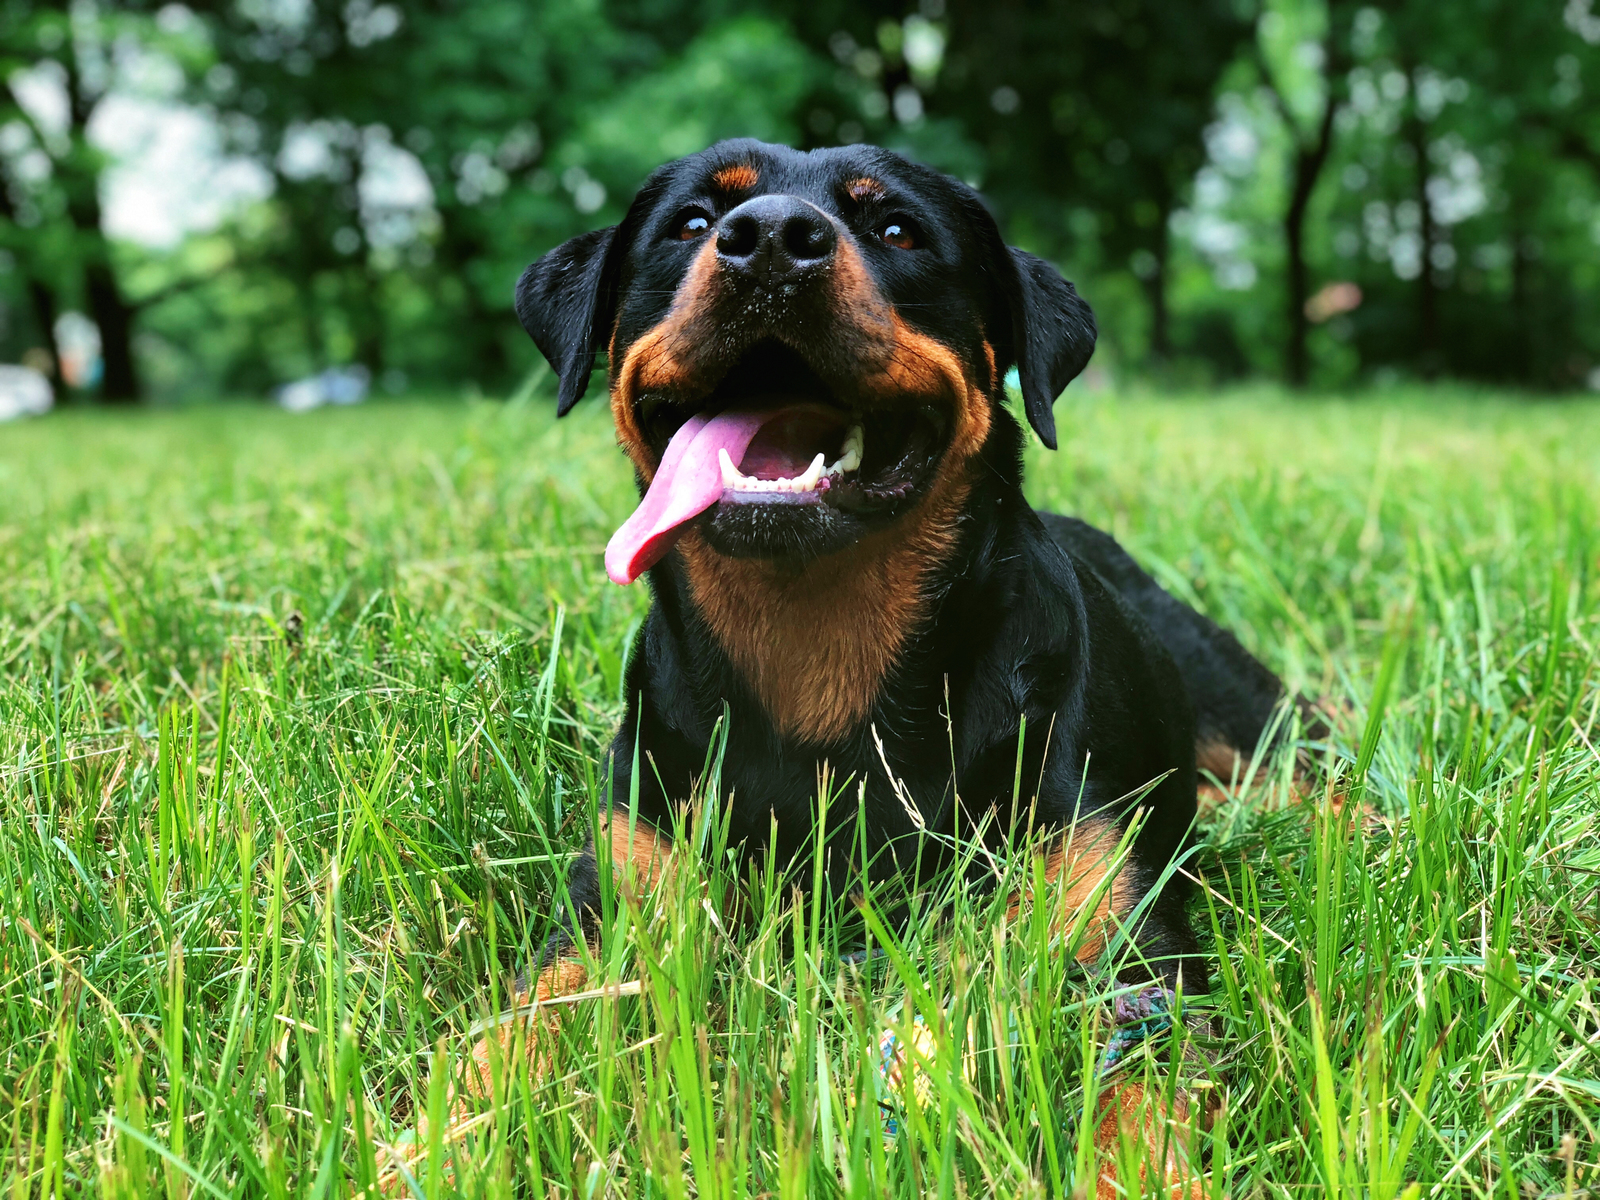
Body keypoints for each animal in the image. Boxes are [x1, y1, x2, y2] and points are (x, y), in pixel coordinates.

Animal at [451, 138, 1299, 1196]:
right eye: (692, 222)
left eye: (897, 228)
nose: (771, 237)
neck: (821, 659)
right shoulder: (623, 892)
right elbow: (522, 1024)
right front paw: (426, 1146)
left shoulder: (1124, 942)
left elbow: (1140, 1106)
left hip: (1246, 712)